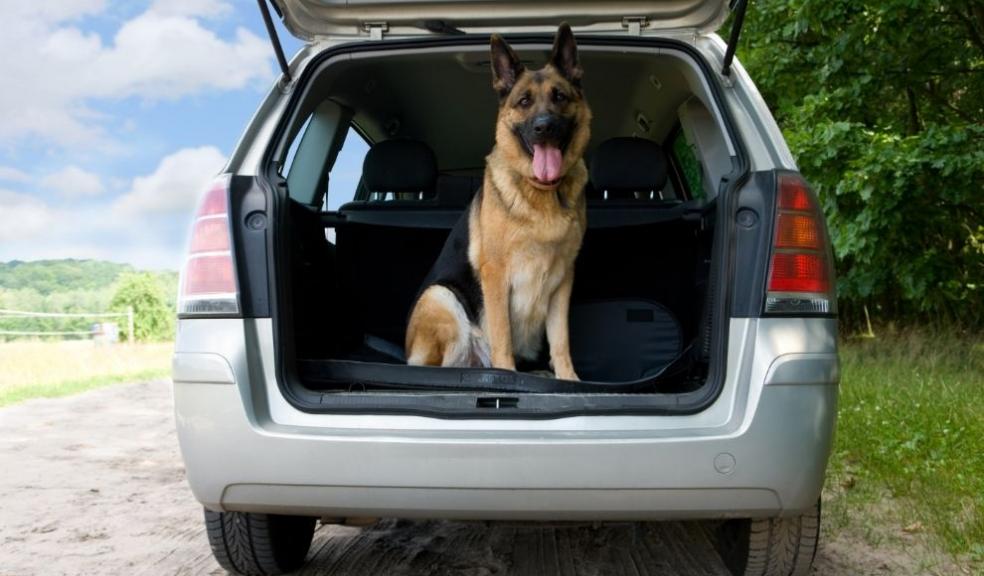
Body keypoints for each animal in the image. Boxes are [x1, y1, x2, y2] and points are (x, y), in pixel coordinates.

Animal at [406, 24, 592, 380]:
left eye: (559, 97)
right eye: (524, 101)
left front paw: (569, 379)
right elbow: (503, 335)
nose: (544, 127)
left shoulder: (564, 280)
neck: (541, 191)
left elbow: (561, 341)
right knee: (440, 367)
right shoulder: (496, 275)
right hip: (442, 298)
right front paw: (507, 375)